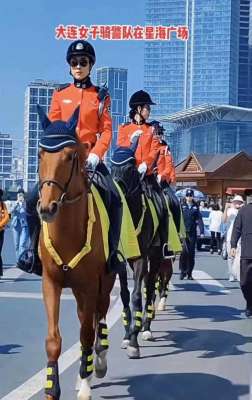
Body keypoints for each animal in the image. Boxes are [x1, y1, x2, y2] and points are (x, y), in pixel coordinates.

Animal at [36, 106, 115, 400]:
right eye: (40, 153)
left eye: (70, 156)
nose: (47, 208)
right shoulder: (50, 283)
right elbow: (53, 340)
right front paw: (51, 388)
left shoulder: (90, 285)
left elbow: (86, 334)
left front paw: (85, 383)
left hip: (105, 282)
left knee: (98, 318)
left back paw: (97, 363)